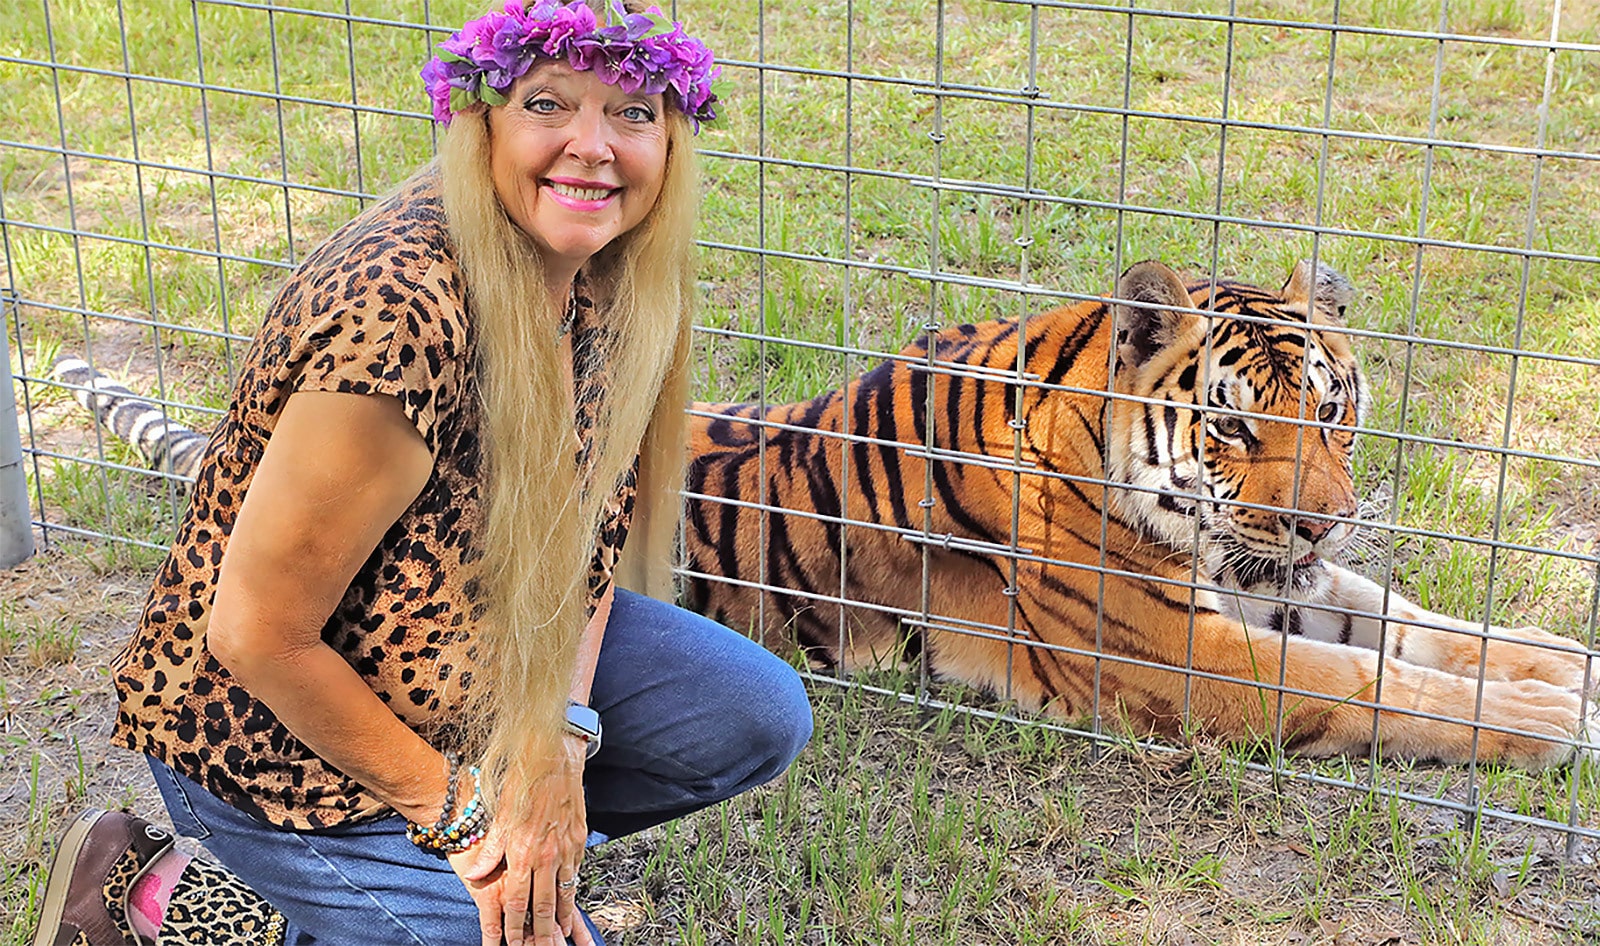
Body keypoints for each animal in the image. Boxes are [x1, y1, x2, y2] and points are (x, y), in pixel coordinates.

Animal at [681, 259, 1593, 768]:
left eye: (1331, 411)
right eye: (1233, 427)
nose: (1325, 525)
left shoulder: (1264, 578)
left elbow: (1405, 624)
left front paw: (1561, 659)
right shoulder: (1178, 654)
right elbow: (1361, 679)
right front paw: (1551, 718)